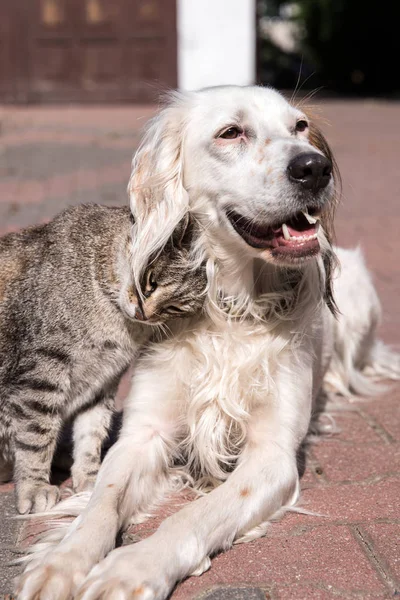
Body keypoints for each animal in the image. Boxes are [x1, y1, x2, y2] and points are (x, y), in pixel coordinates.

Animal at [0, 204, 206, 512]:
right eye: (151, 281)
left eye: (174, 307)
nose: (144, 313)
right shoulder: (43, 371)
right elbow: (36, 435)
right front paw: (34, 486)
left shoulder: (102, 382)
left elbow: (91, 433)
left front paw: (89, 476)